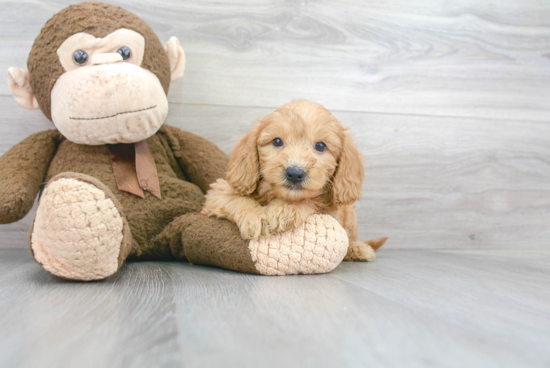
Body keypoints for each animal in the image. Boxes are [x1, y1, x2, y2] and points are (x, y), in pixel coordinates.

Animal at [203, 100, 388, 262]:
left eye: (320, 146)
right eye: (277, 141)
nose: (294, 173)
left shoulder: (331, 211)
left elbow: (311, 201)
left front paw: (282, 209)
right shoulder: (218, 192)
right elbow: (235, 199)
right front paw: (255, 216)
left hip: (349, 215)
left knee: (350, 238)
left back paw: (358, 248)